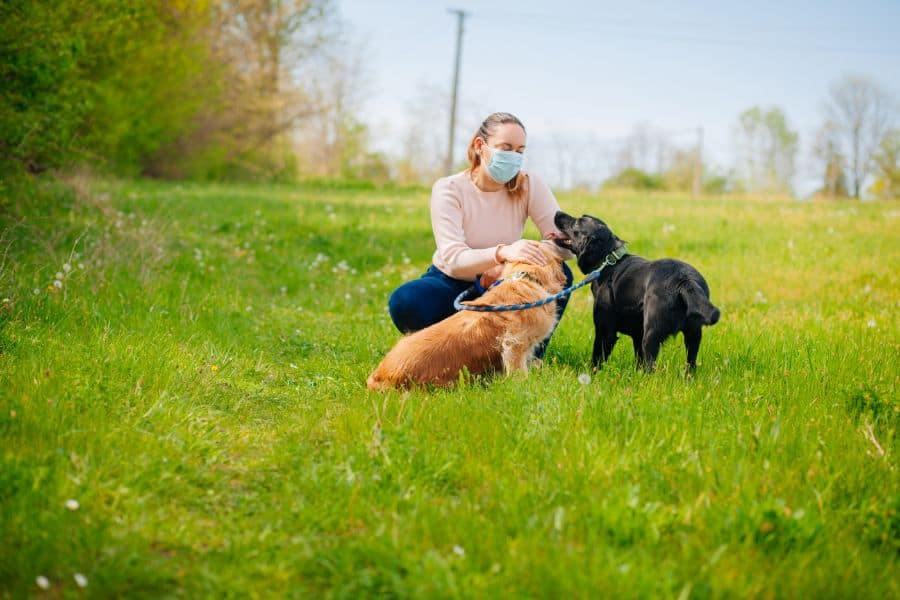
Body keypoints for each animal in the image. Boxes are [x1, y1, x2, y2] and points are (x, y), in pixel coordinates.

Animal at [552, 211, 720, 370]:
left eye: (577, 223)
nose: (557, 213)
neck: (609, 262)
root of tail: (684, 281)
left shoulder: (605, 331)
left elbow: (597, 360)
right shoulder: (637, 335)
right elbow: (638, 361)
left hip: (652, 334)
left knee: (650, 367)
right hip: (693, 335)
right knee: (690, 365)